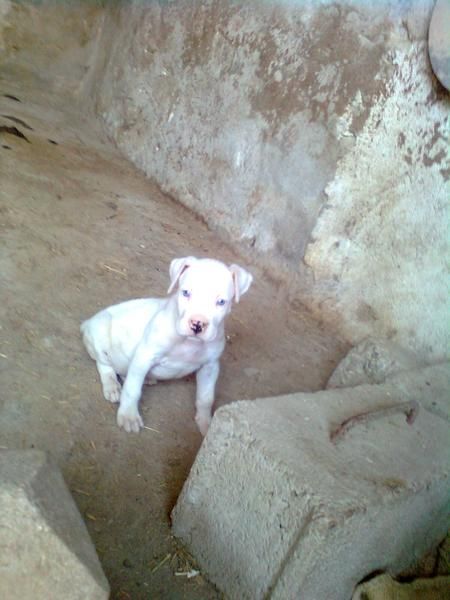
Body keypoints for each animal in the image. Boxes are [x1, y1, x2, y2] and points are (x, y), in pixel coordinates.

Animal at [81, 255, 253, 434]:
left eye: (221, 302)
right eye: (185, 293)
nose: (197, 324)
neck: (188, 343)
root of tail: (87, 323)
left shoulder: (210, 367)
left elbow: (206, 397)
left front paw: (206, 424)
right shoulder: (145, 356)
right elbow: (132, 389)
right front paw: (128, 415)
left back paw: (146, 379)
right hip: (101, 335)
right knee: (104, 365)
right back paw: (112, 386)